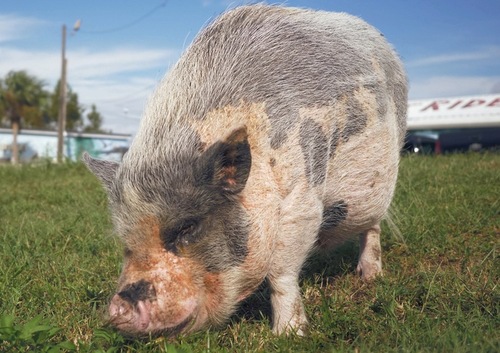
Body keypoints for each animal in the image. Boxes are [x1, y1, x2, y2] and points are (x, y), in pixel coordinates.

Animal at [84, 4, 408, 336]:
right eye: (126, 241)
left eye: (188, 226)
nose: (118, 309)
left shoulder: (302, 200)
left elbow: (281, 273)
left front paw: (289, 335)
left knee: (373, 227)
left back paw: (370, 277)